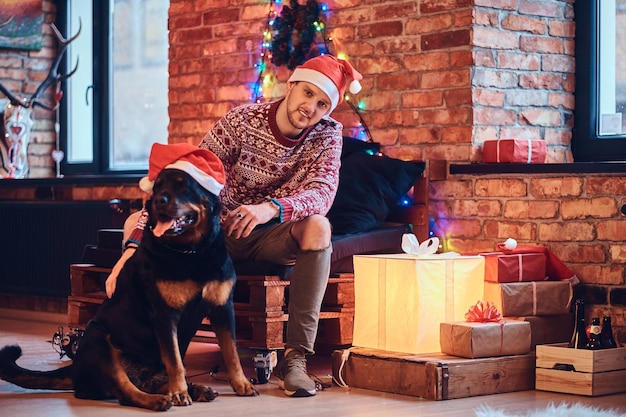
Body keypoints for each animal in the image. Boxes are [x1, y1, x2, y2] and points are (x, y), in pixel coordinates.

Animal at [0, 167, 258, 410]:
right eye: (157, 187)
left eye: (184, 185)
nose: (158, 201)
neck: (193, 252)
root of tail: (74, 369)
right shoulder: (164, 316)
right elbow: (174, 361)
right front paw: (179, 393)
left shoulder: (222, 309)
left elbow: (231, 352)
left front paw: (241, 383)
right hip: (98, 339)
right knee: (125, 390)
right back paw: (159, 400)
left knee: (153, 381)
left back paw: (194, 389)